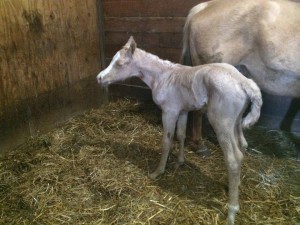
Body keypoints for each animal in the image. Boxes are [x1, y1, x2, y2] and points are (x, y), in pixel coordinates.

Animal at [96, 37, 262, 225]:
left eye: (120, 64)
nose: (99, 78)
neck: (162, 76)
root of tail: (244, 82)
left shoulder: (169, 111)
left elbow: (167, 140)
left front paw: (158, 171)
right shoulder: (183, 111)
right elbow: (181, 135)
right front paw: (180, 162)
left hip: (222, 123)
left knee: (234, 158)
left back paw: (232, 211)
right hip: (236, 121)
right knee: (242, 145)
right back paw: (232, 186)